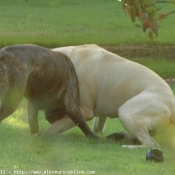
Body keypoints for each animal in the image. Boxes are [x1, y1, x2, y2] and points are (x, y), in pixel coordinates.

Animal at [42, 44, 175, 148]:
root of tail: (172, 103)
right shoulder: (99, 116)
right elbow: (96, 128)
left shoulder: (84, 111)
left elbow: (52, 129)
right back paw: (119, 137)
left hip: (127, 112)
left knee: (151, 144)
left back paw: (127, 145)